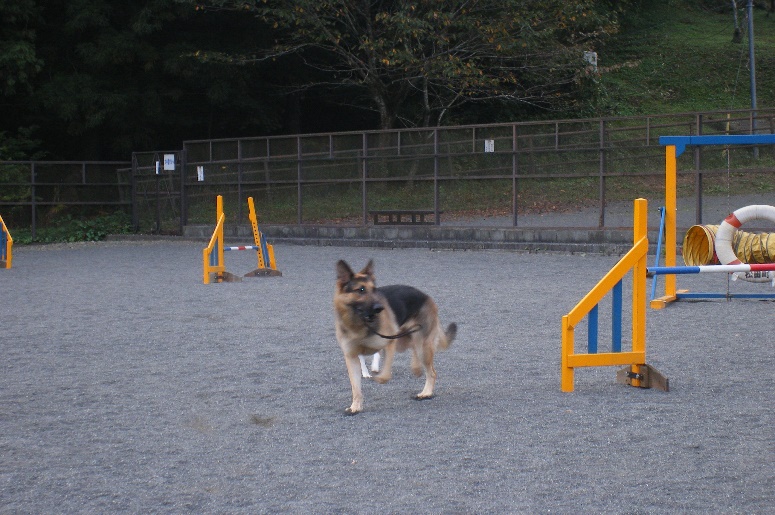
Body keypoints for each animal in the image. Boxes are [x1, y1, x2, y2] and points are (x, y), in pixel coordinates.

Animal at [334, 258, 454, 416]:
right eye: (361, 290)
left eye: (374, 289)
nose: (380, 308)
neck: (360, 324)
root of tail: (426, 296)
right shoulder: (351, 357)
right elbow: (356, 387)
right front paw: (356, 407)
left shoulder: (389, 343)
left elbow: (384, 375)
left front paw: (379, 378)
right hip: (408, 341)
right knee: (414, 348)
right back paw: (416, 368)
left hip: (421, 346)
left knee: (431, 372)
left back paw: (426, 393)